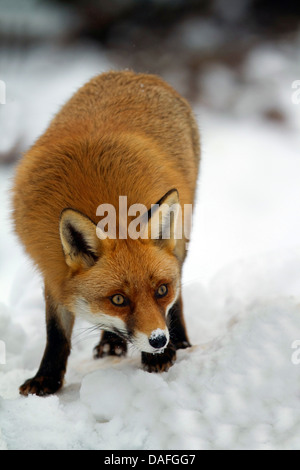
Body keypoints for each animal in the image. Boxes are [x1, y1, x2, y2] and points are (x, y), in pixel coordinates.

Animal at [12, 70, 199, 394]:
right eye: (118, 300)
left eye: (162, 291)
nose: (158, 341)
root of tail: (135, 74)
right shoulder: (54, 271)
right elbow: (56, 333)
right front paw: (47, 378)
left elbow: (173, 303)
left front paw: (161, 355)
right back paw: (112, 342)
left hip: (181, 237)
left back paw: (181, 341)